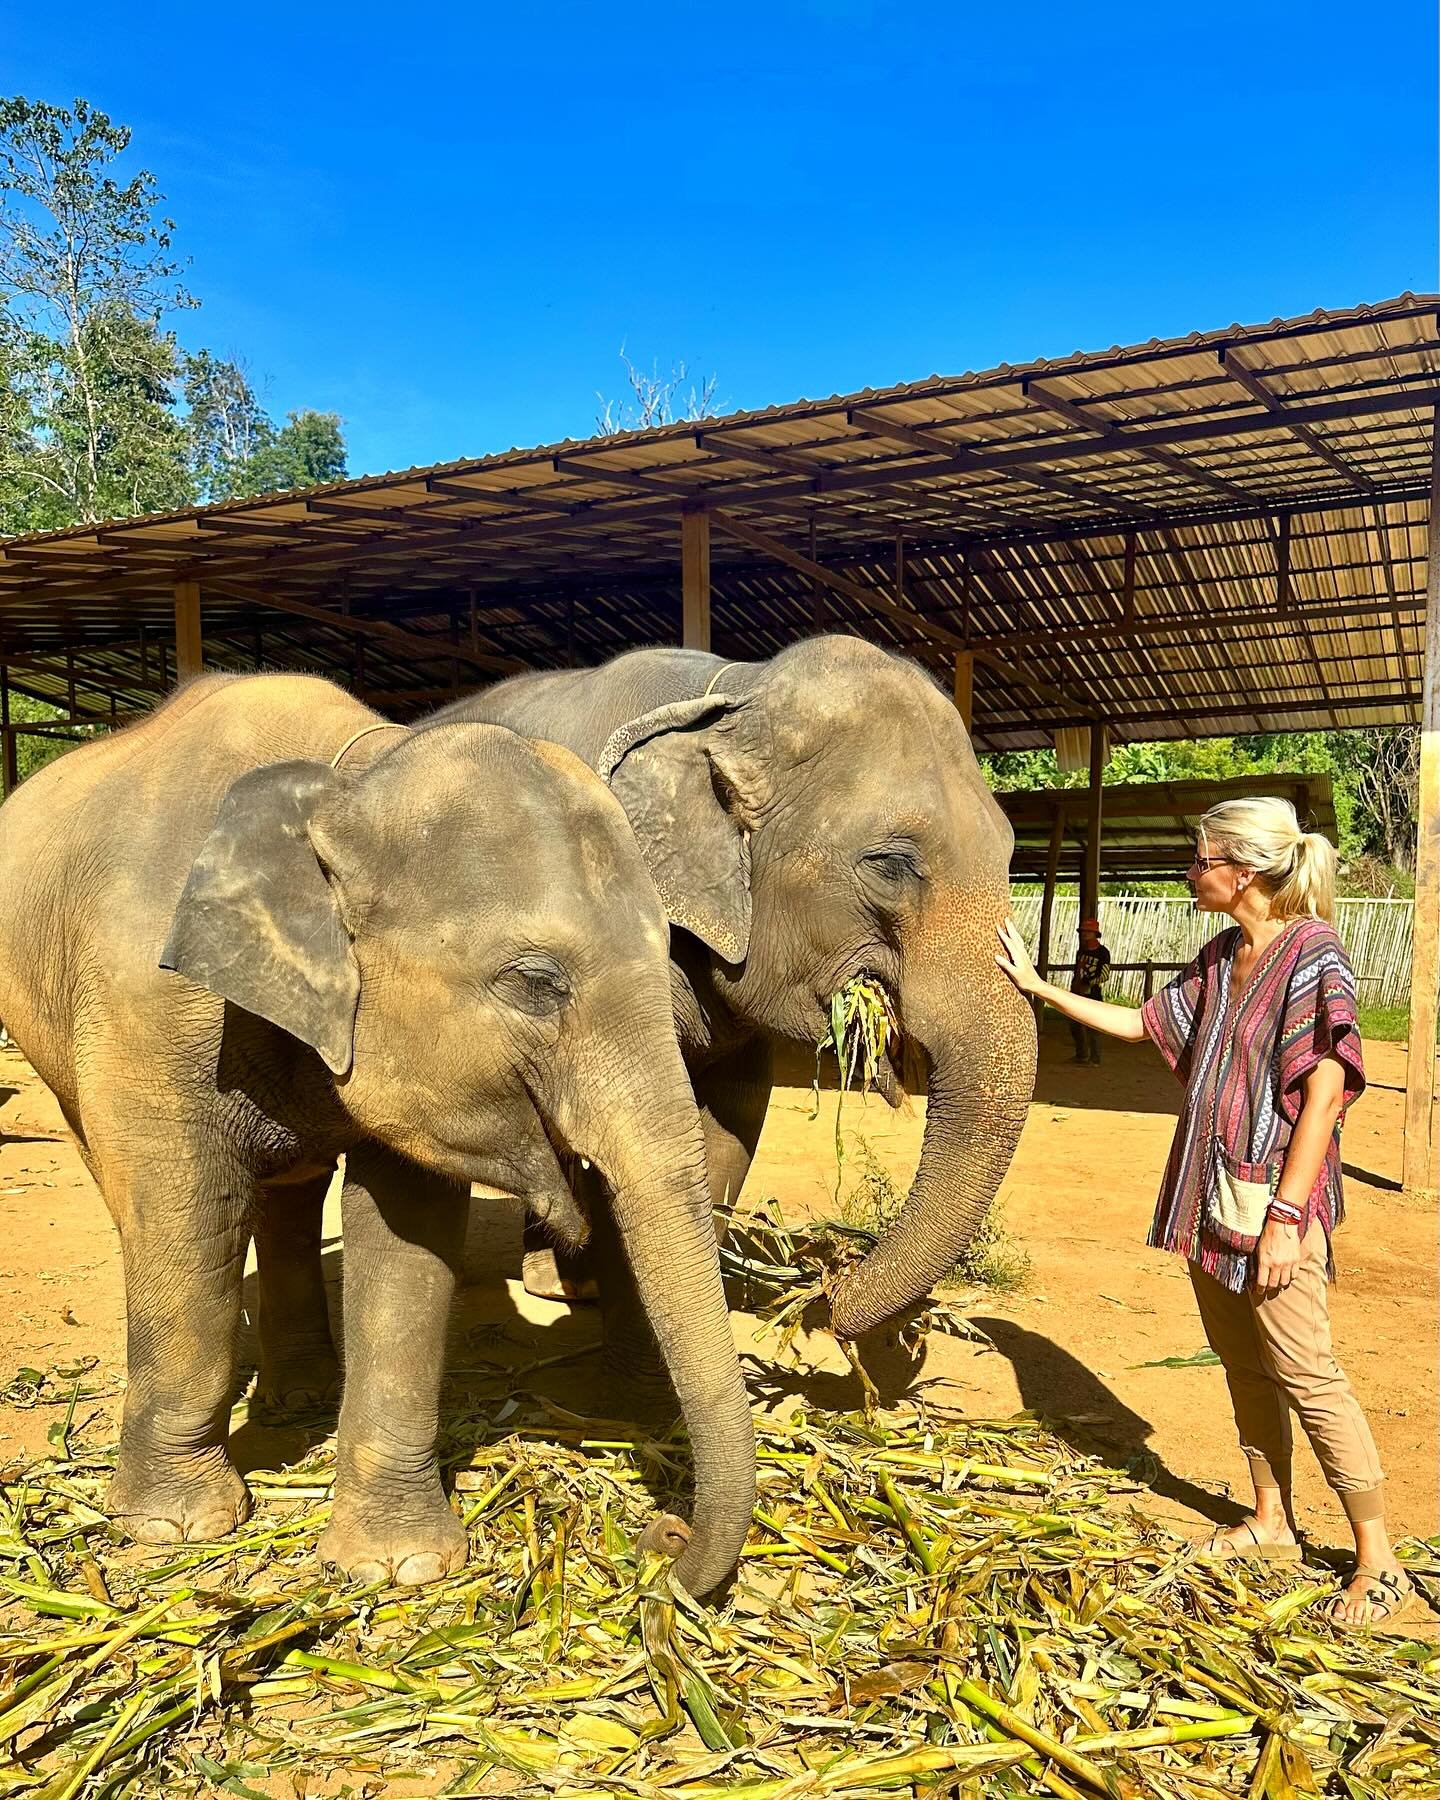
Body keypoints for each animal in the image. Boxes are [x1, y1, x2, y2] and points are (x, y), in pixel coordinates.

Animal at [0, 673, 759, 1591]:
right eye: (537, 983)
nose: (663, 1544)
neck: (351, 784)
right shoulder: (144, 1007)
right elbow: (188, 1212)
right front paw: (175, 1527)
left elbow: (406, 1241)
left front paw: (400, 1567)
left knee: (289, 1200)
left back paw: (301, 1401)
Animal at [424, 633, 1036, 1353]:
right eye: (891, 864)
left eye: (1009, 853)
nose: (834, 1289)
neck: (736, 691)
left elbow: (736, 1115)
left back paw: (561, 1285)